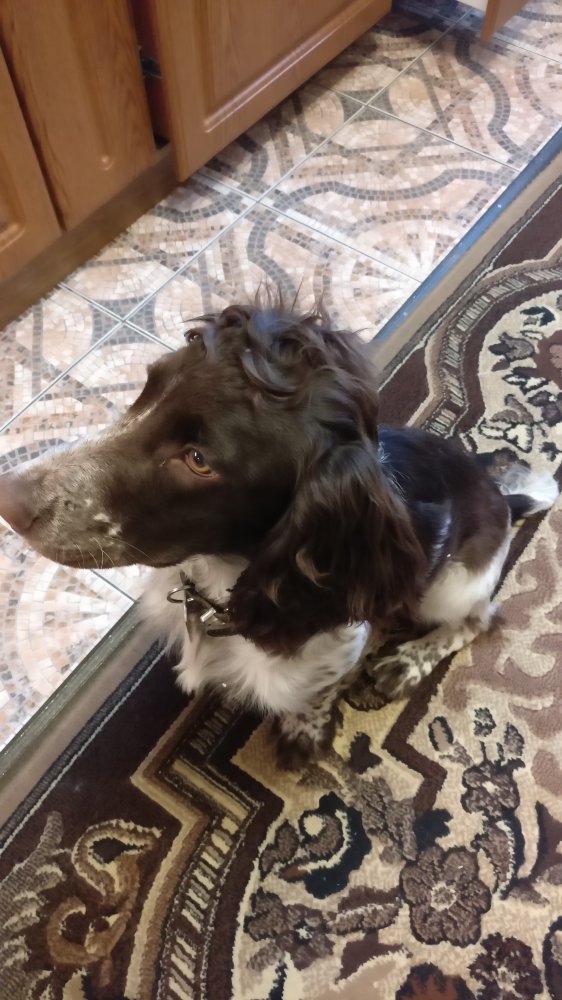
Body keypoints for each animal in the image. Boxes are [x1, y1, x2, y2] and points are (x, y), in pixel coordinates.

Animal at [0, 302, 558, 768]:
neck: (224, 579)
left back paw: (408, 663)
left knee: (478, 619)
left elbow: (315, 693)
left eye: (198, 460)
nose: (10, 500)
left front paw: (303, 734)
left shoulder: (342, 637)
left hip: (447, 586)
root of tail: (504, 499)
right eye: (148, 389)